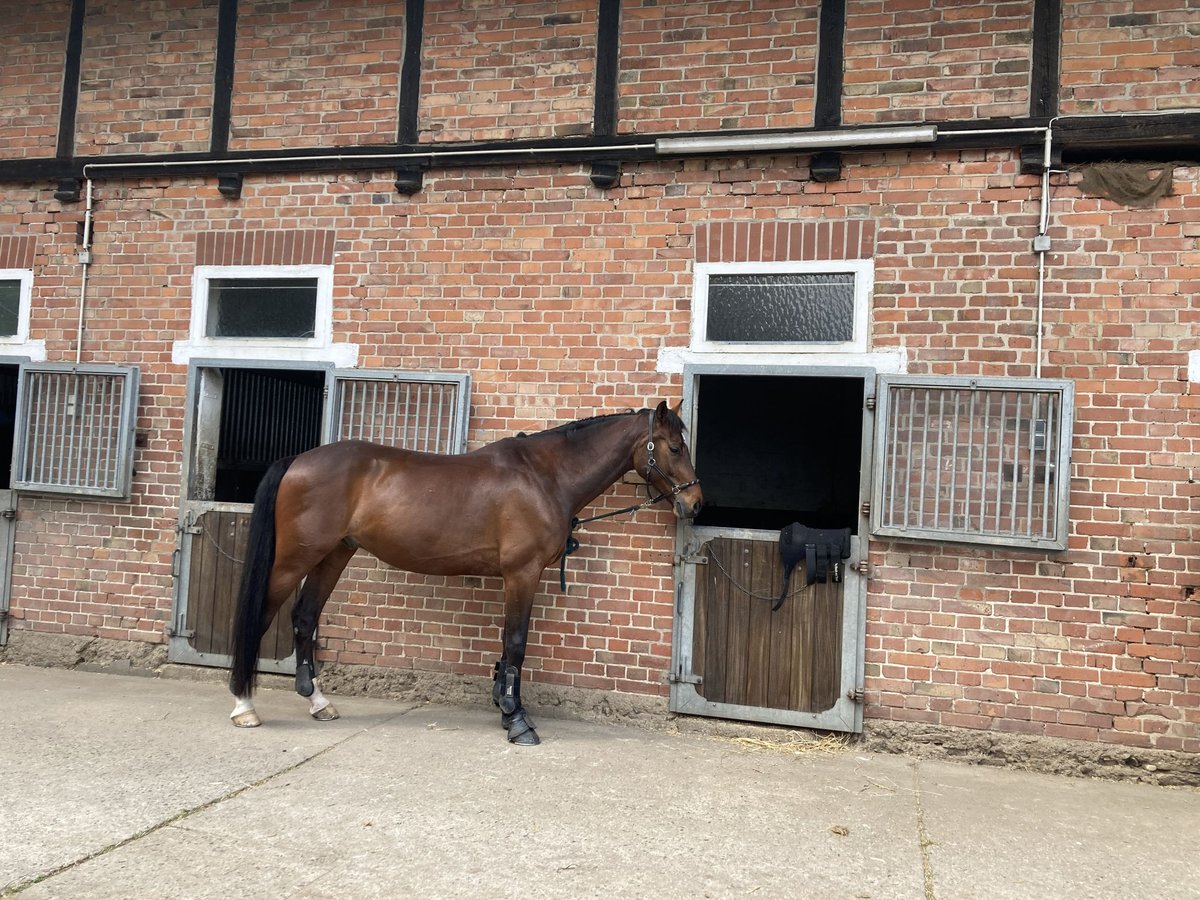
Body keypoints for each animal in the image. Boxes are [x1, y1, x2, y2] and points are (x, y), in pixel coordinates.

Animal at [226, 403, 700, 748]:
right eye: (676, 448)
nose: (695, 504)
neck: (544, 477)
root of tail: (297, 461)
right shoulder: (522, 574)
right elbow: (516, 643)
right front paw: (517, 720)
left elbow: (507, 648)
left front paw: (505, 708)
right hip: (295, 558)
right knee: (261, 617)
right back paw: (243, 705)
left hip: (334, 554)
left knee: (305, 617)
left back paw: (318, 702)